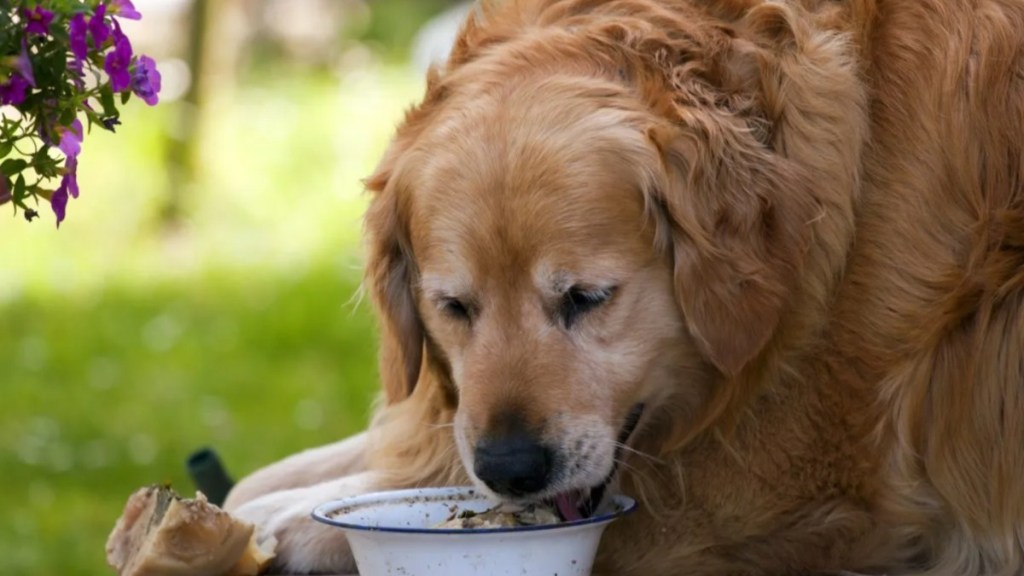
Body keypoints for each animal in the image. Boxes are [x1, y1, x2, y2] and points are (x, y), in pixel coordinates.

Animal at [222, 2, 1024, 569]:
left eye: (586, 298)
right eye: (453, 307)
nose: (511, 470)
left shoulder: (777, 499)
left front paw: (279, 525)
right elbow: (271, 475)